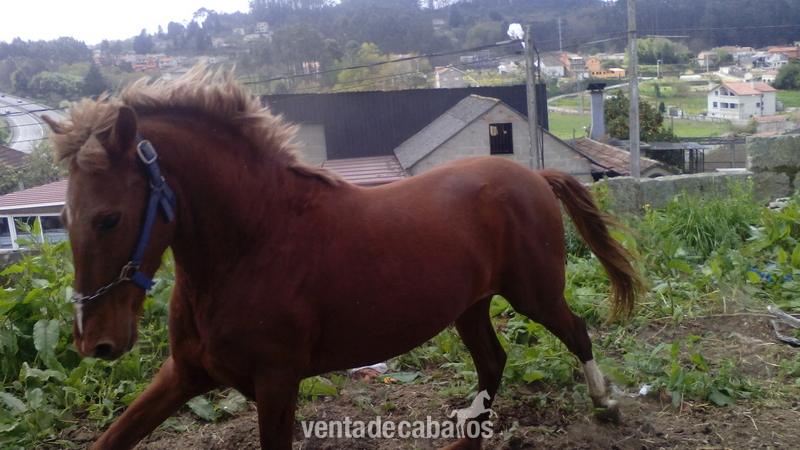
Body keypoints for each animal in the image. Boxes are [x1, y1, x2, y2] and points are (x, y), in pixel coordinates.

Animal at [43, 64, 646, 450]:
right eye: (64, 218)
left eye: (109, 218)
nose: (96, 343)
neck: (251, 244)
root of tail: (534, 176)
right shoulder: (184, 374)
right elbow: (111, 439)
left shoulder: (276, 383)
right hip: (468, 306)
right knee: (493, 362)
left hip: (533, 294)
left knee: (577, 333)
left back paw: (608, 404)